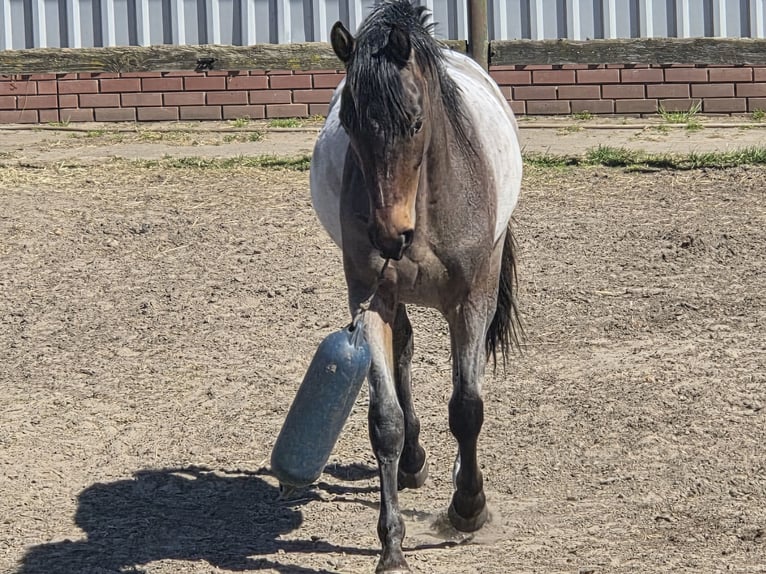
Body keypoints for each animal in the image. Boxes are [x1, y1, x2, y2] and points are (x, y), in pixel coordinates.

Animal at [309, 2, 522, 571]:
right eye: (350, 124)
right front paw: (392, 548)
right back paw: (412, 462)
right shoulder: (371, 299)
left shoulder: (471, 302)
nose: (389, 235)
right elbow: (384, 420)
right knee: (403, 351)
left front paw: (468, 507)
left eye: (416, 122)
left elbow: (467, 408)